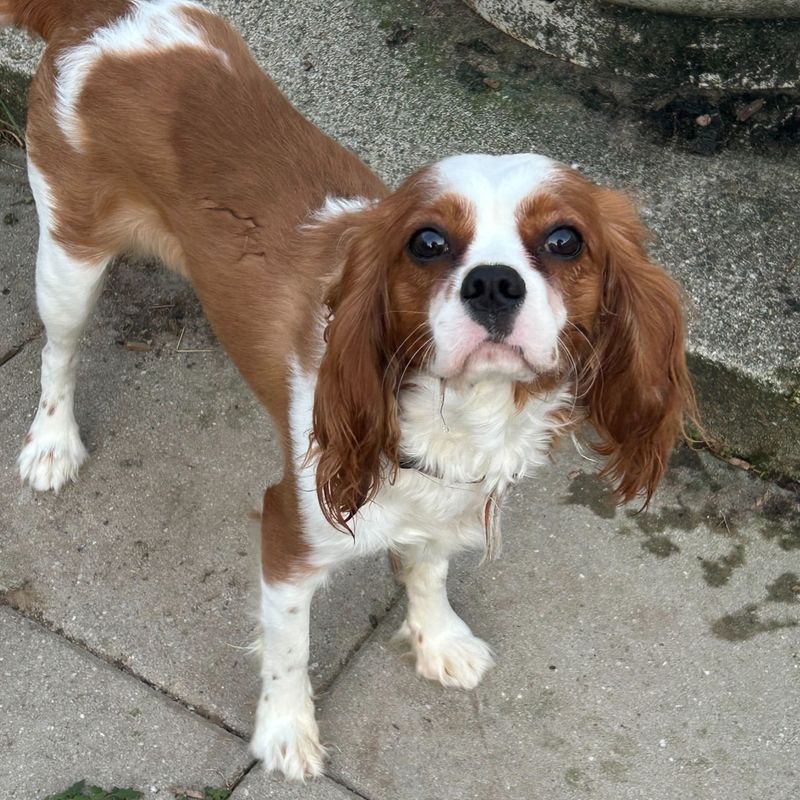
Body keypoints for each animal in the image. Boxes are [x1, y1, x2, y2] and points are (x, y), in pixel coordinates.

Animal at [4, 0, 692, 780]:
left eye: (565, 241)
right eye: (427, 244)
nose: (492, 283)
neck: (458, 413)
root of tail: (99, 16)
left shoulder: (445, 502)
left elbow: (427, 568)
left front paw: (436, 638)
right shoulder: (288, 531)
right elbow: (289, 647)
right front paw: (285, 730)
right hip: (70, 256)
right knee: (59, 351)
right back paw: (53, 443)